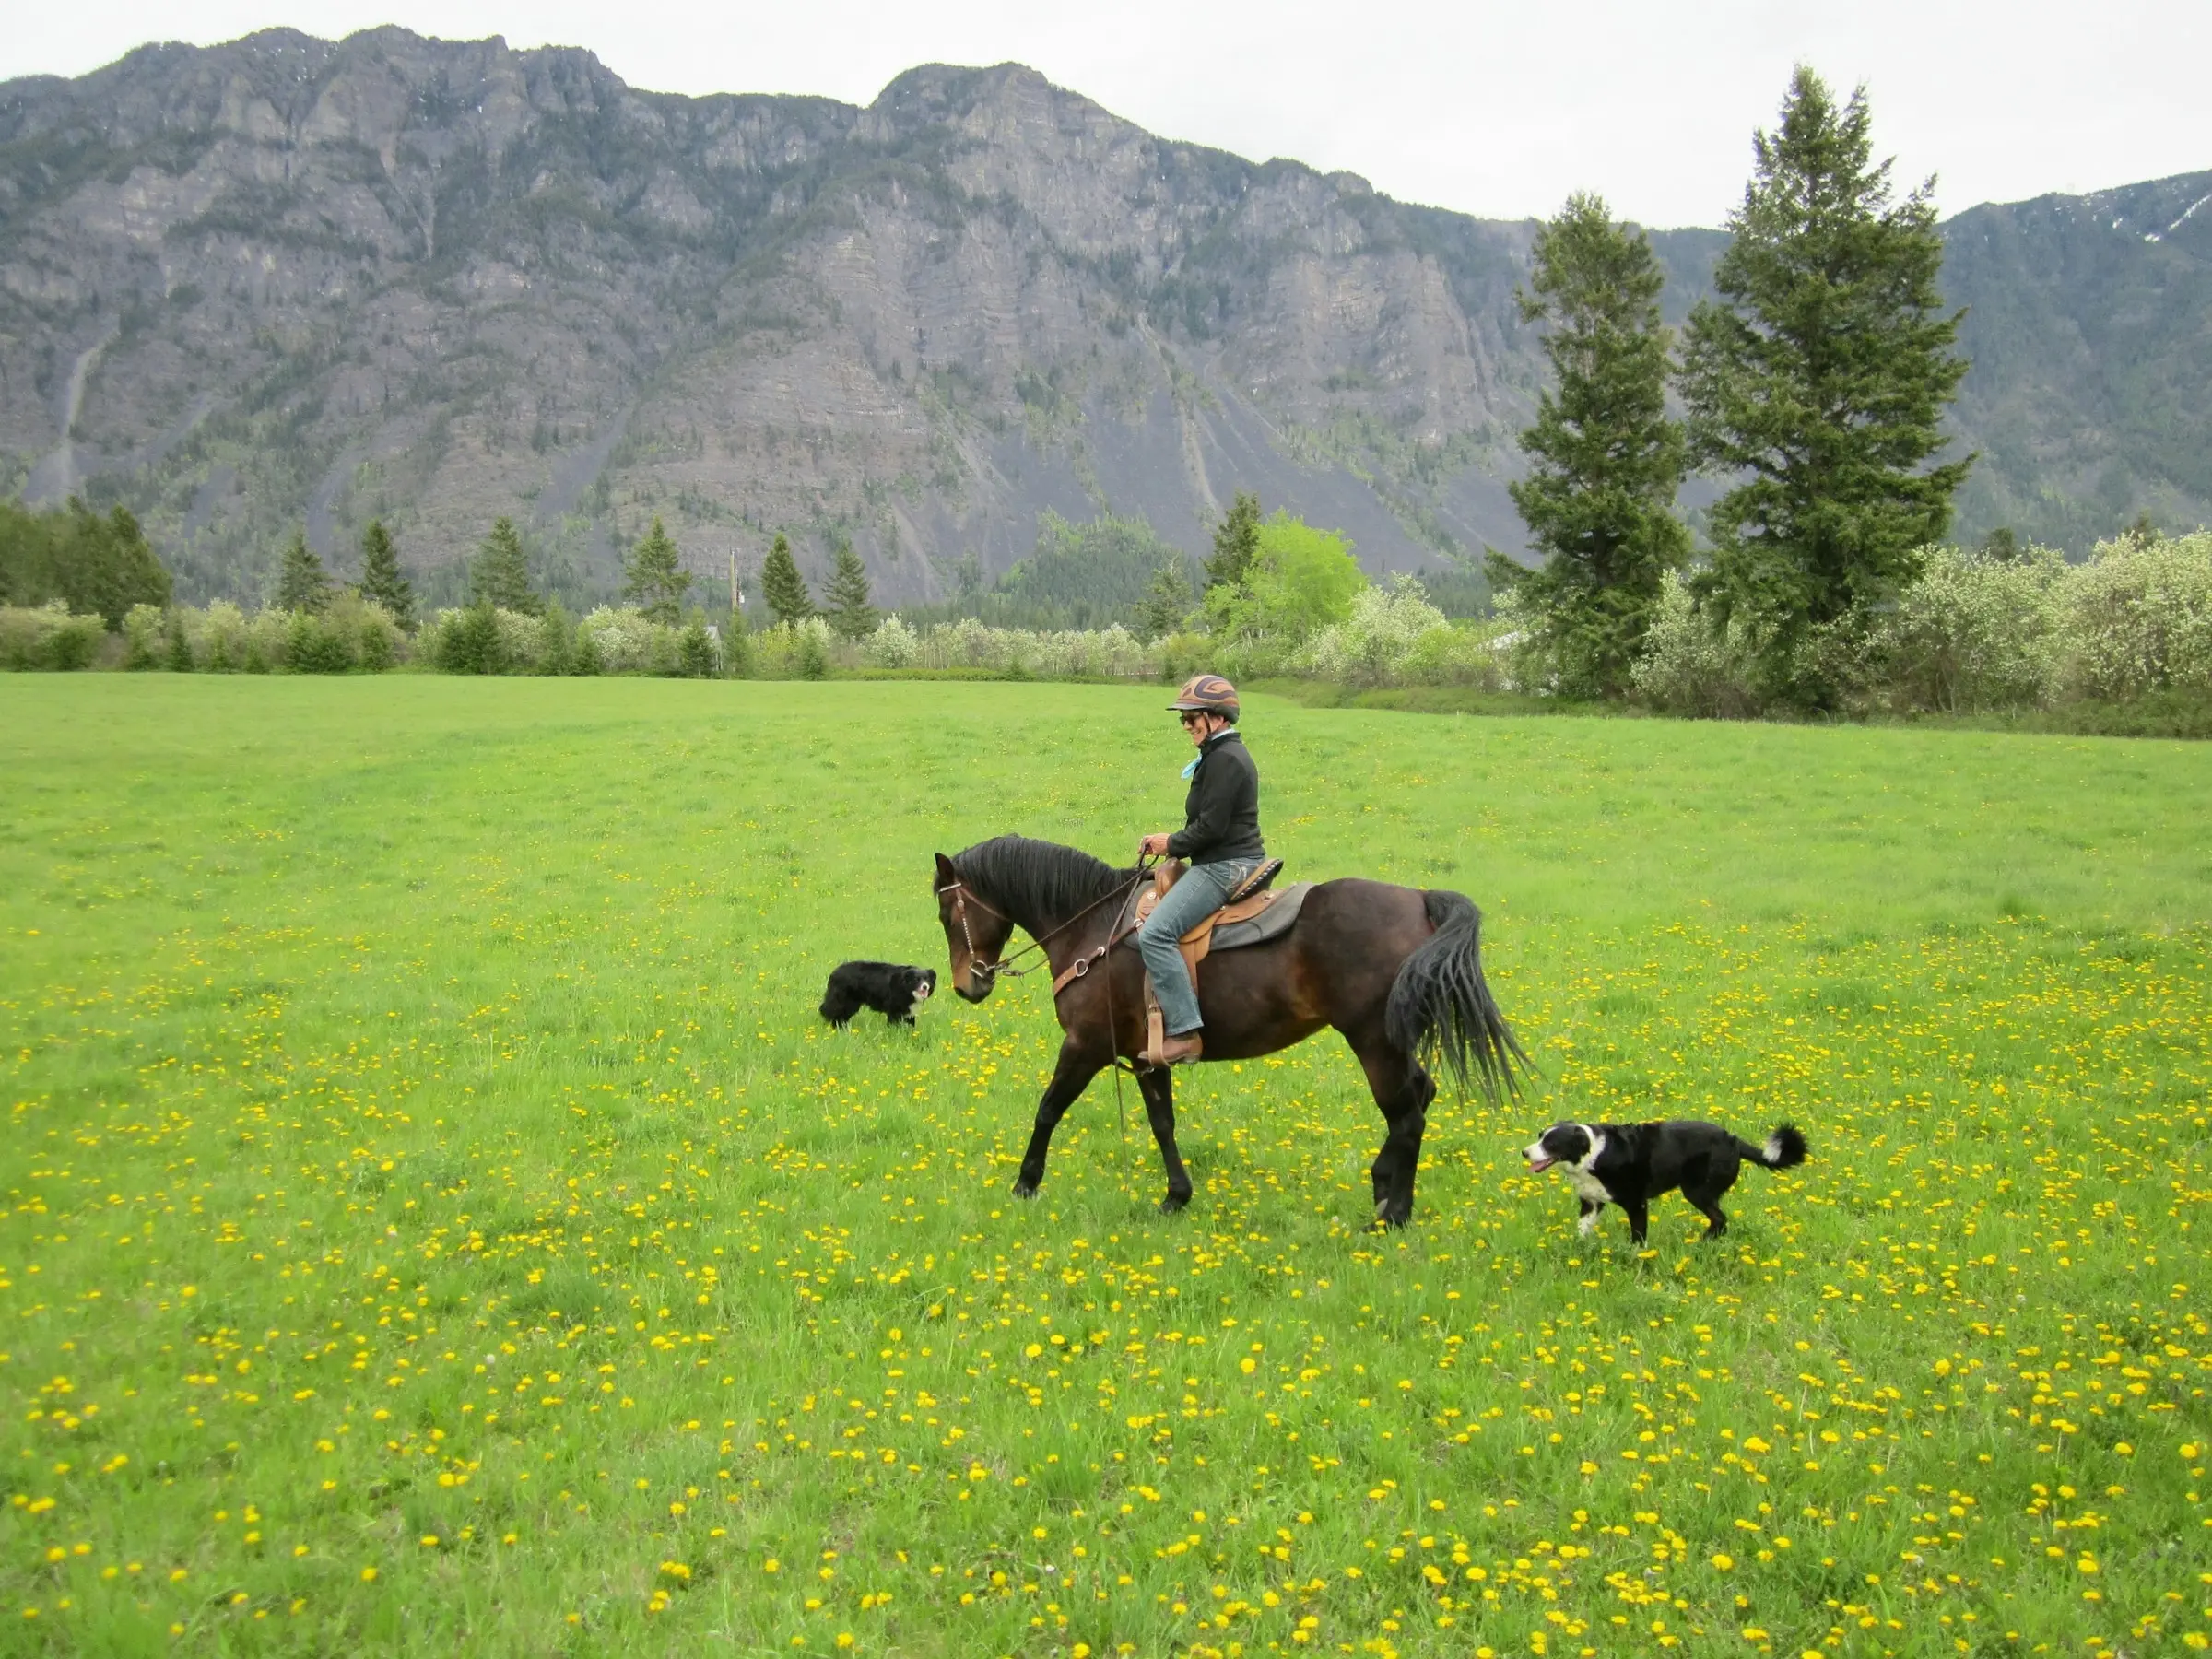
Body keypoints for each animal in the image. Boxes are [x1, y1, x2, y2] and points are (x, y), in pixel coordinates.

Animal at [822, 959, 942, 1026]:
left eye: (927, 979)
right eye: (917, 979)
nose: (925, 987)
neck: (906, 988)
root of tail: (834, 973)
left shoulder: (909, 1010)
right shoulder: (894, 1008)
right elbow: (893, 1023)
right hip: (844, 999)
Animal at [929, 836, 1522, 1230]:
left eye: (945, 911)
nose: (966, 985)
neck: (1091, 928)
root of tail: (1420, 899)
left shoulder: (1085, 1046)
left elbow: (1048, 1110)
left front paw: (1025, 1184)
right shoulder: (1146, 1058)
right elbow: (1162, 1124)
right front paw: (1175, 1196)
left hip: (1374, 1041)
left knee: (1407, 1116)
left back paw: (1391, 1215)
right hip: (1393, 1041)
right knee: (1422, 1094)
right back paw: (1385, 1190)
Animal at [1522, 1119, 1814, 1247]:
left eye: (1551, 1143)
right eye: (1540, 1136)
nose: (1525, 1152)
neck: (1595, 1153)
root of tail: (1733, 1139)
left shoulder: (1636, 1203)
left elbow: (1638, 1237)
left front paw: (1636, 1256)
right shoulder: (1591, 1202)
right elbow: (1583, 1230)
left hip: (1697, 1190)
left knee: (1720, 1219)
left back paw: (1702, 1243)